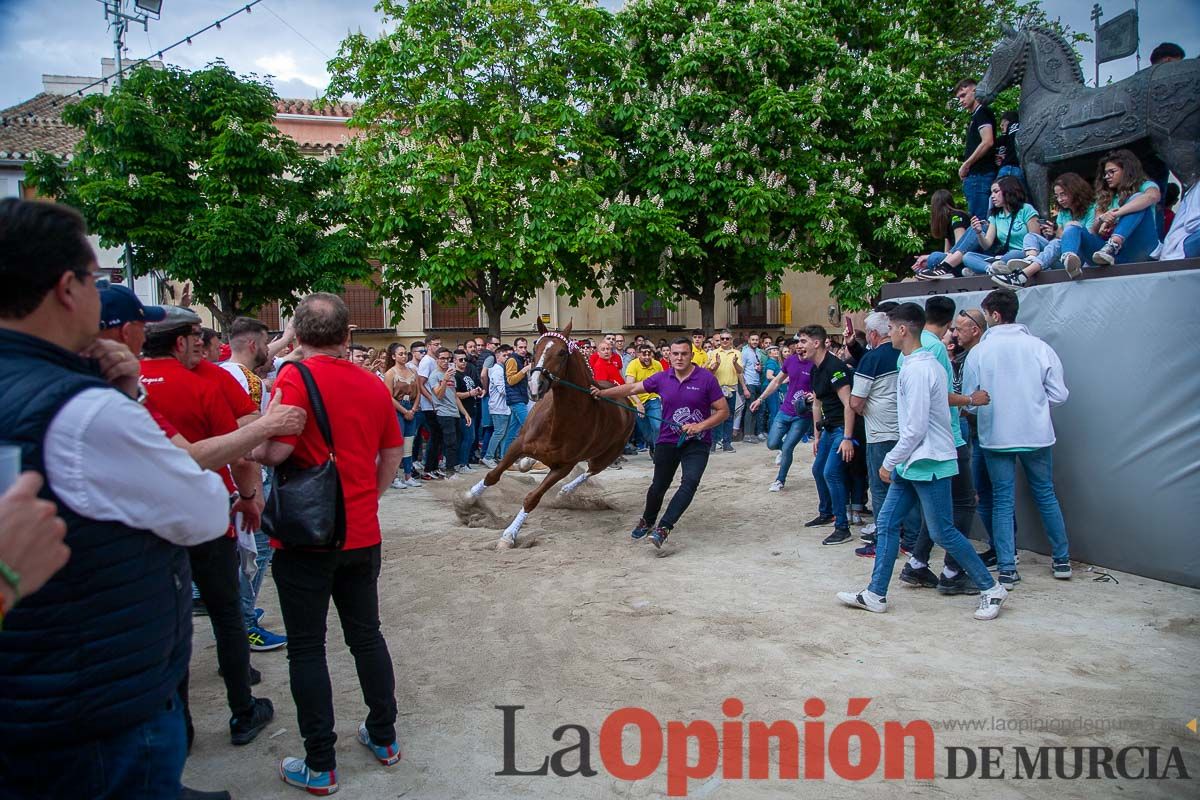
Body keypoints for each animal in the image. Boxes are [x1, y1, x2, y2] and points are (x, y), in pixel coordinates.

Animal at [463, 321, 638, 551]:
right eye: (535, 346)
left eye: (562, 352)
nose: (535, 386)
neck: (557, 421)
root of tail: (627, 402)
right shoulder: (518, 444)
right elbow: (493, 475)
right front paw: (466, 499)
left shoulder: (563, 467)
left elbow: (531, 499)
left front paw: (508, 536)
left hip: (608, 454)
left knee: (591, 471)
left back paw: (564, 491)